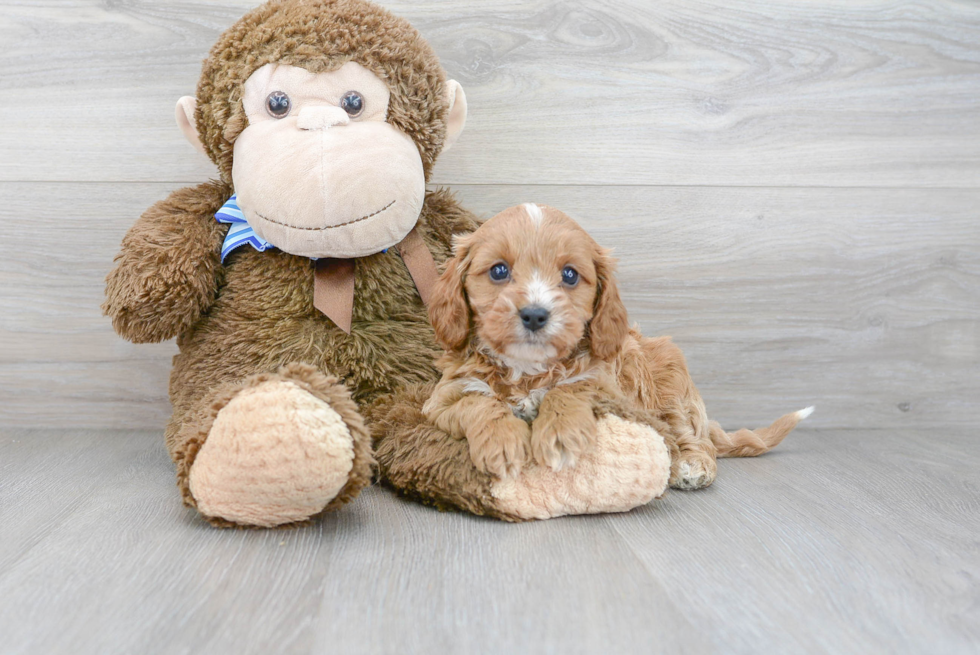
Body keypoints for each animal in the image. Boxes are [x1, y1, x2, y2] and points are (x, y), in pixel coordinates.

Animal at [422, 205, 812, 486]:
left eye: (569, 275)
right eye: (499, 271)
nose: (534, 315)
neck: (528, 370)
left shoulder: (607, 386)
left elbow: (570, 389)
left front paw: (560, 433)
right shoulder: (442, 398)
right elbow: (477, 402)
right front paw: (502, 442)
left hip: (672, 383)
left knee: (692, 437)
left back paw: (692, 465)